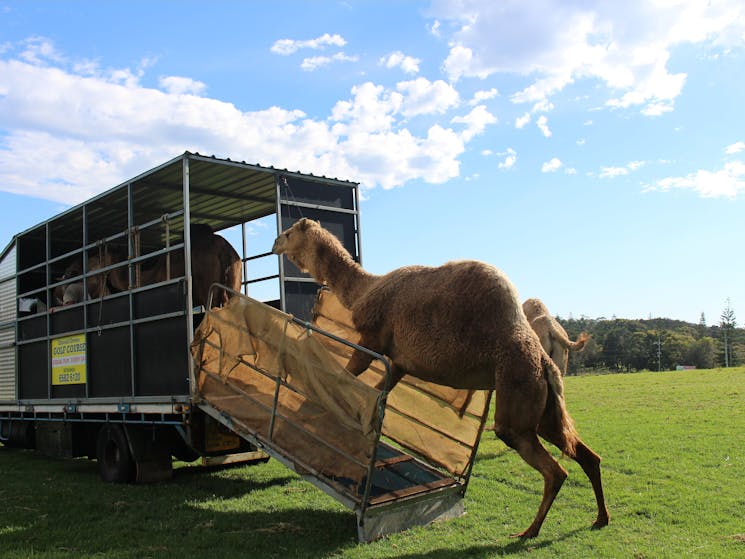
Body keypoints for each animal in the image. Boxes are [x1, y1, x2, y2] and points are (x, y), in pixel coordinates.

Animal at [270, 218, 608, 540]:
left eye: (289, 232)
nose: (274, 242)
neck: (366, 289)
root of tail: (544, 362)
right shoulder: (400, 363)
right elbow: (378, 392)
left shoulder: (372, 340)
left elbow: (345, 375)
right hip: (544, 405)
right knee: (587, 455)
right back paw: (600, 519)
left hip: (517, 390)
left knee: (553, 469)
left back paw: (529, 531)